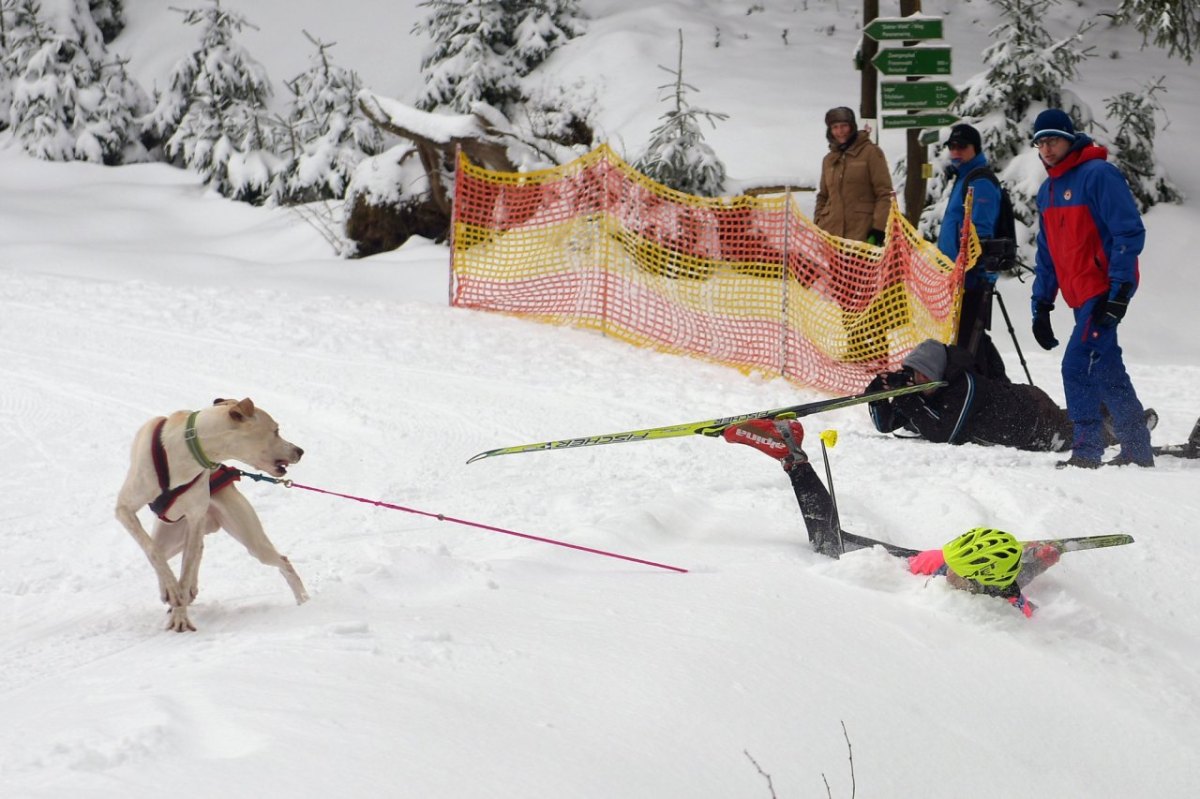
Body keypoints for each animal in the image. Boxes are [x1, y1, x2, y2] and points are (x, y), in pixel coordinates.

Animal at [115, 395, 309, 628]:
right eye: (276, 430)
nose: (300, 451)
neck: (185, 450)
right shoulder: (124, 508)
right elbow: (153, 552)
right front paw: (172, 591)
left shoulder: (195, 516)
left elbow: (186, 568)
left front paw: (180, 616)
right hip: (170, 536)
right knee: (167, 552)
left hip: (251, 540)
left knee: (282, 561)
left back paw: (304, 600)